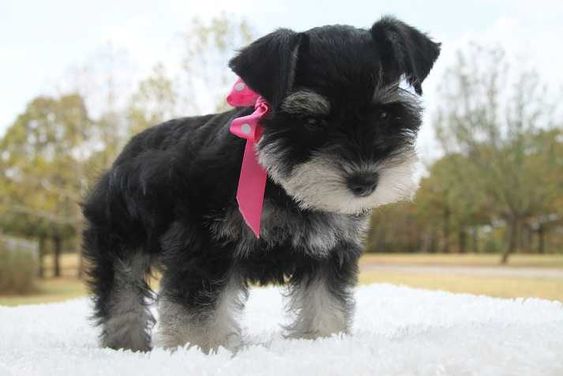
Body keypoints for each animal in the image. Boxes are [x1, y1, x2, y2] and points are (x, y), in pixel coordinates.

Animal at [81, 16, 440, 352]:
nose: (364, 181)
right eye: (312, 121)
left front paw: (323, 339)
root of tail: (125, 153)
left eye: (384, 115)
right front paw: (200, 350)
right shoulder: (203, 246)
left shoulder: (329, 253)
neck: (279, 182)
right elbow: (199, 312)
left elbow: (325, 304)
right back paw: (126, 343)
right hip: (120, 240)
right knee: (121, 293)